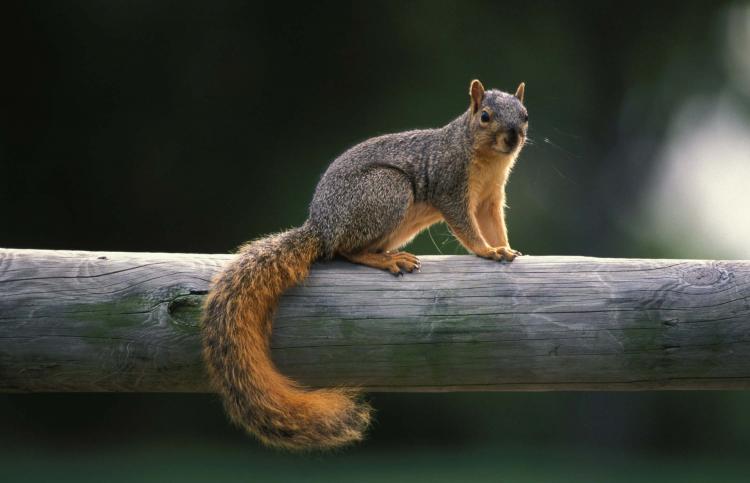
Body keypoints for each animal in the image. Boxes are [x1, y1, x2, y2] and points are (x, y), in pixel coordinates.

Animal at [202, 79, 528, 450]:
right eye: (485, 116)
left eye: (525, 115)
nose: (513, 137)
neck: (485, 159)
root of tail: (322, 227)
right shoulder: (450, 186)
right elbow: (467, 228)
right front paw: (486, 251)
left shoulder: (490, 198)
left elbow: (494, 225)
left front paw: (504, 248)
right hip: (387, 191)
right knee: (345, 251)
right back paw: (385, 260)